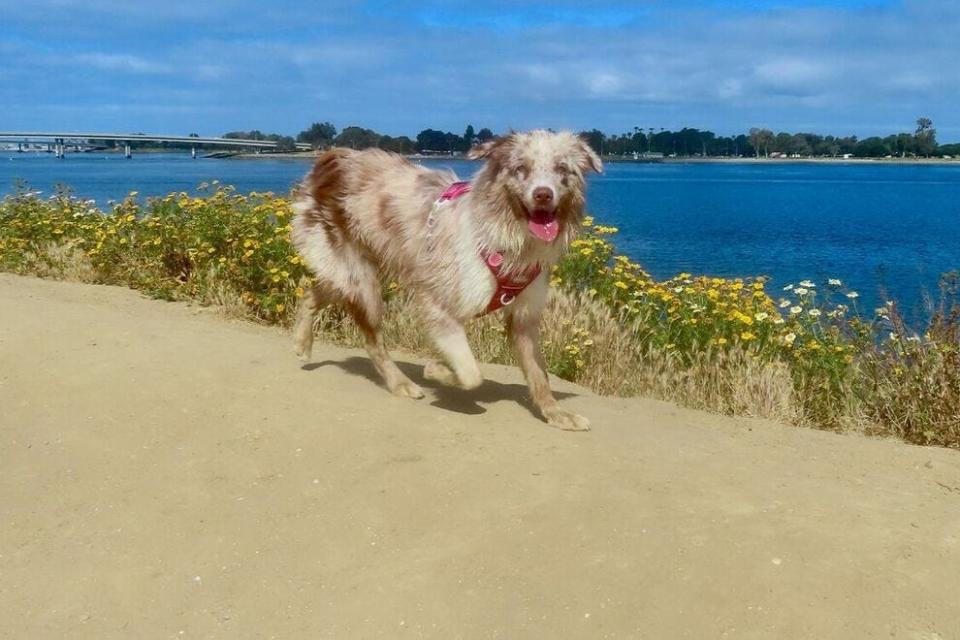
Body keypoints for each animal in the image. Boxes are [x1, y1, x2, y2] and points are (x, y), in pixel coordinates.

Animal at [288, 130, 600, 430]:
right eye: (520, 168)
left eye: (562, 168)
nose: (543, 195)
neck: (509, 239)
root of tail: (339, 158)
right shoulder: (437, 303)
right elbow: (471, 373)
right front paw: (437, 370)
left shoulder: (525, 316)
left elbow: (539, 375)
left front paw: (556, 414)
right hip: (362, 283)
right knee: (372, 340)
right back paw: (400, 383)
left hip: (350, 275)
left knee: (312, 291)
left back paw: (302, 342)